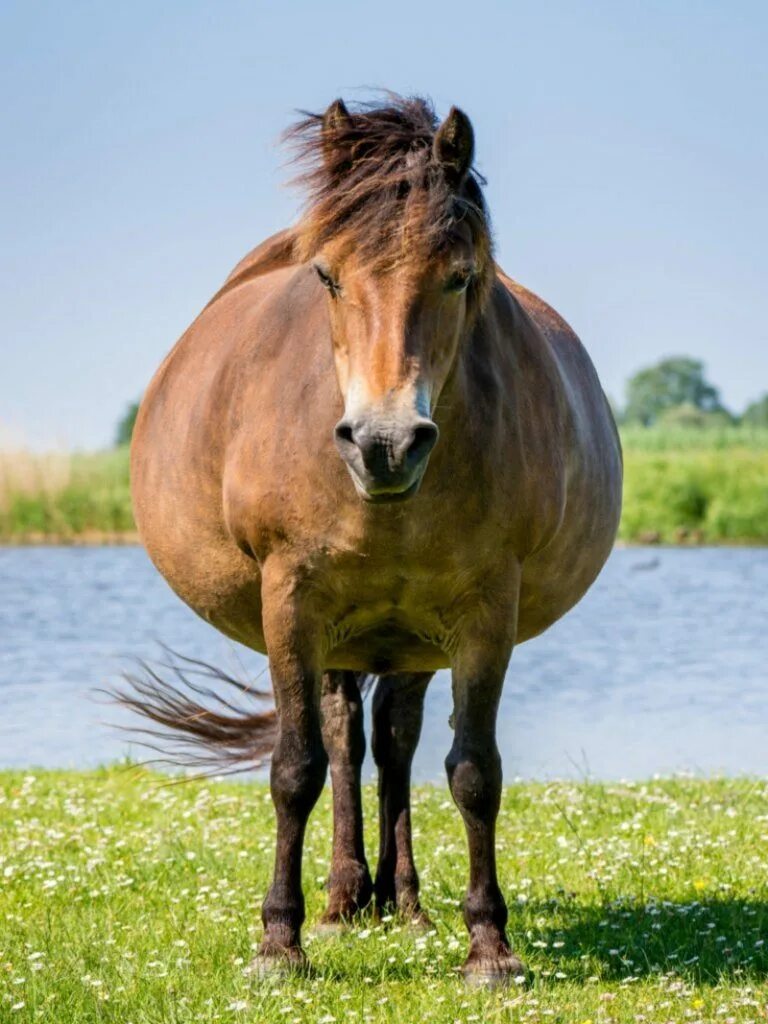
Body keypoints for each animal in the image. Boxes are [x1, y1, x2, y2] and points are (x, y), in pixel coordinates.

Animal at [124, 96, 618, 983]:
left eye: (460, 276)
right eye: (327, 277)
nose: (384, 444)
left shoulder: (484, 613)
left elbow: (473, 771)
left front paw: (489, 946)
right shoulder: (290, 600)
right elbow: (296, 768)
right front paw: (279, 942)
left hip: (411, 639)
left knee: (391, 740)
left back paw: (403, 902)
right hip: (336, 633)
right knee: (343, 738)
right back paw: (342, 900)